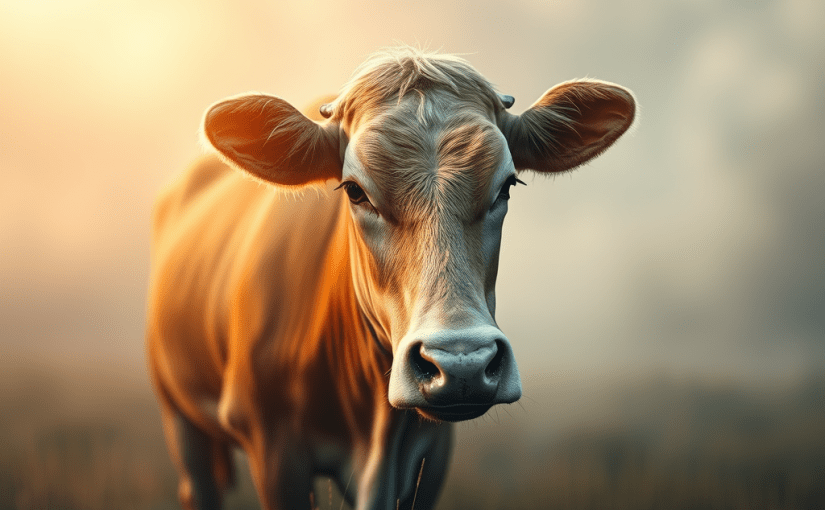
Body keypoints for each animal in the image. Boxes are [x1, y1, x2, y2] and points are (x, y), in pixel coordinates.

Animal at [146, 47, 635, 510]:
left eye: (507, 186)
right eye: (355, 190)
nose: (463, 363)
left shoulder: (430, 456)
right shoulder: (273, 449)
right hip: (177, 413)